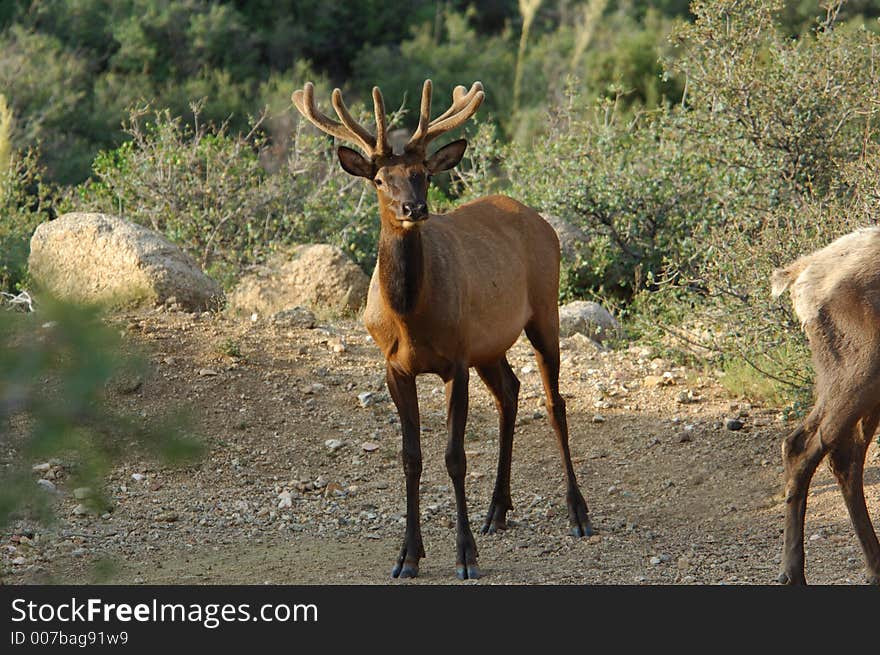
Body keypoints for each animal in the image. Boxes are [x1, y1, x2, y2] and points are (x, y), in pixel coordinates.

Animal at [294, 80, 592, 580]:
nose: (414, 208)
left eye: (423, 175)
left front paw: (465, 555)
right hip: (489, 344)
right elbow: (410, 457)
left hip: (543, 311)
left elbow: (455, 457)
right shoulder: (396, 366)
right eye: (379, 180)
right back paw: (497, 511)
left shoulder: (455, 359)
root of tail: (538, 218)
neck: (413, 320)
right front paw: (407, 557)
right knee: (510, 392)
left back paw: (578, 514)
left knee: (554, 404)